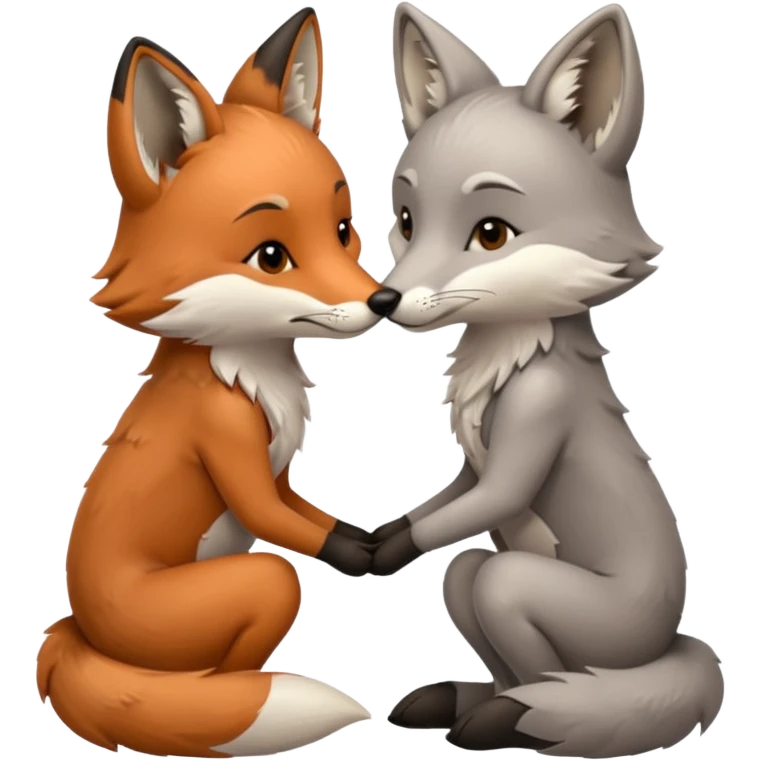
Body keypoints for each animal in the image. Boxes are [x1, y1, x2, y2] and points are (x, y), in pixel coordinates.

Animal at [33, 9, 401, 758]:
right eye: (271, 255)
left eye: (343, 229)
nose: (382, 301)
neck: (248, 373)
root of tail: (78, 627)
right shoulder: (227, 436)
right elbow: (272, 518)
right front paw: (364, 554)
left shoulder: (277, 469)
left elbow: (302, 511)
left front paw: (373, 539)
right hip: (212, 597)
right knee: (264, 594)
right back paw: (213, 699)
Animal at [368, 3, 727, 757]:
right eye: (406, 222)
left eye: (492, 233)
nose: (383, 300)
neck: (508, 361)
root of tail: (670, 641)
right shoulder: (476, 469)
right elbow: (450, 501)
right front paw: (381, 538)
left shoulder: (538, 410)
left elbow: (501, 491)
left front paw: (375, 556)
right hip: (484, 581)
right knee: (466, 575)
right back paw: (474, 701)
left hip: (584, 612)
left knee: (505, 596)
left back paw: (516, 716)